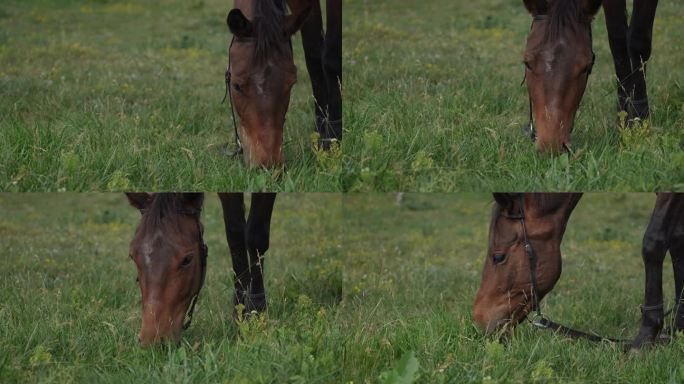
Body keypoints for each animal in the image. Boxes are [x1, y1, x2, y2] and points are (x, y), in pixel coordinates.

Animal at [125, 192, 276, 344]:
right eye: (132, 256)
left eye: (187, 260)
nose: (151, 340)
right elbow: (235, 235)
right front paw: (240, 312)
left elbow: (255, 237)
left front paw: (257, 313)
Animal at [226, 0, 340, 167]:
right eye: (237, 86)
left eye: (291, 84)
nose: (268, 163)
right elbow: (314, 57)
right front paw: (320, 140)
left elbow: (331, 59)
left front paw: (332, 144)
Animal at [472, 194, 684, 350]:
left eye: (498, 257)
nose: (479, 319)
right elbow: (677, 240)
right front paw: (677, 328)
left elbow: (653, 242)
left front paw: (644, 339)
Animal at [520, 0, 660, 153]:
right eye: (527, 63)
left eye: (585, 68)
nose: (551, 146)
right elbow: (617, 40)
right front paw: (622, 119)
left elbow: (638, 40)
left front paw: (638, 121)